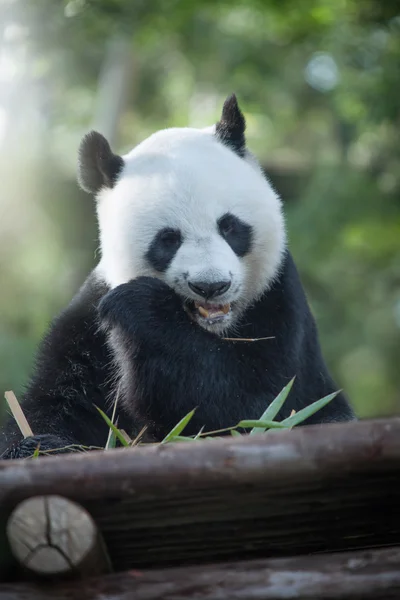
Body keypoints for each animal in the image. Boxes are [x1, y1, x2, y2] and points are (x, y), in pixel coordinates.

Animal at [0, 94, 356, 460]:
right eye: (168, 239)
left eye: (230, 226)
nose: (211, 286)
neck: (208, 330)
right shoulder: (89, 323)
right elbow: (59, 402)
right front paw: (37, 446)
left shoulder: (279, 304)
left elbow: (257, 406)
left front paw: (142, 307)